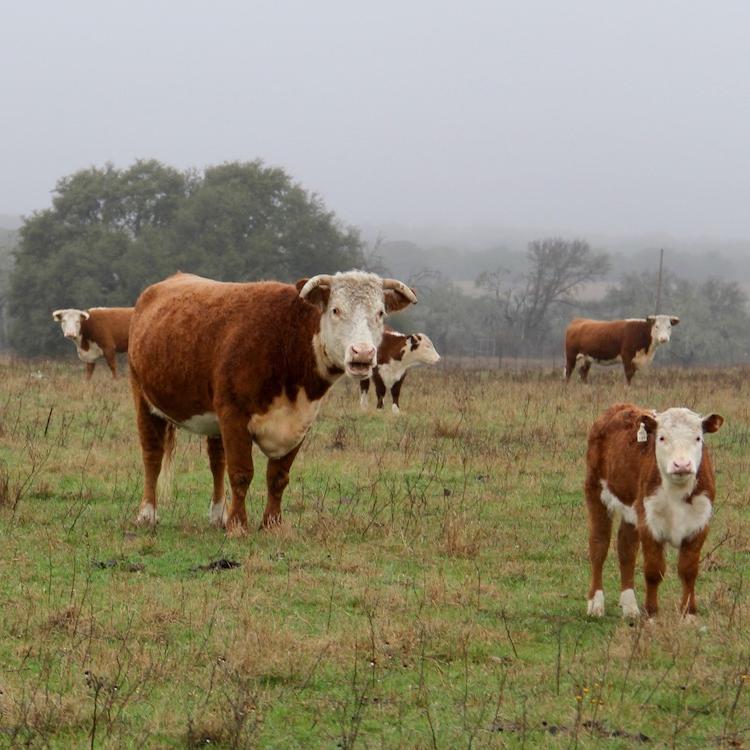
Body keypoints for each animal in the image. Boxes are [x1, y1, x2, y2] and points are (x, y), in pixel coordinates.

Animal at [130, 270, 420, 536]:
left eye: (380, 313)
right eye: (336, 310)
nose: (363, 353)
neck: (288, 345)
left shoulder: (300, 422)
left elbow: (278, 477)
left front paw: (272, 524)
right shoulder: (234, 416)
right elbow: (241, 473)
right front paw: (238, 526)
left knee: (216, 461)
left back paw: (217, 516)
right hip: (143, 399)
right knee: (152, 456)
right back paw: (147, 515)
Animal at [584, 402, 724, 620]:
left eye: (698, 438)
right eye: (662, 438)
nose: (682, 464)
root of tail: (620, 406)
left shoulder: (700, 523)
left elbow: (689, 570)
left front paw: (689, 614)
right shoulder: (649, 522)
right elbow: (654, 570)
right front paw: (651, 614)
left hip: (632, 510)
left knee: (626, 549)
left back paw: (630, 607)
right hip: (595, 492)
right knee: (599, 546)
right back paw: (596, 604)